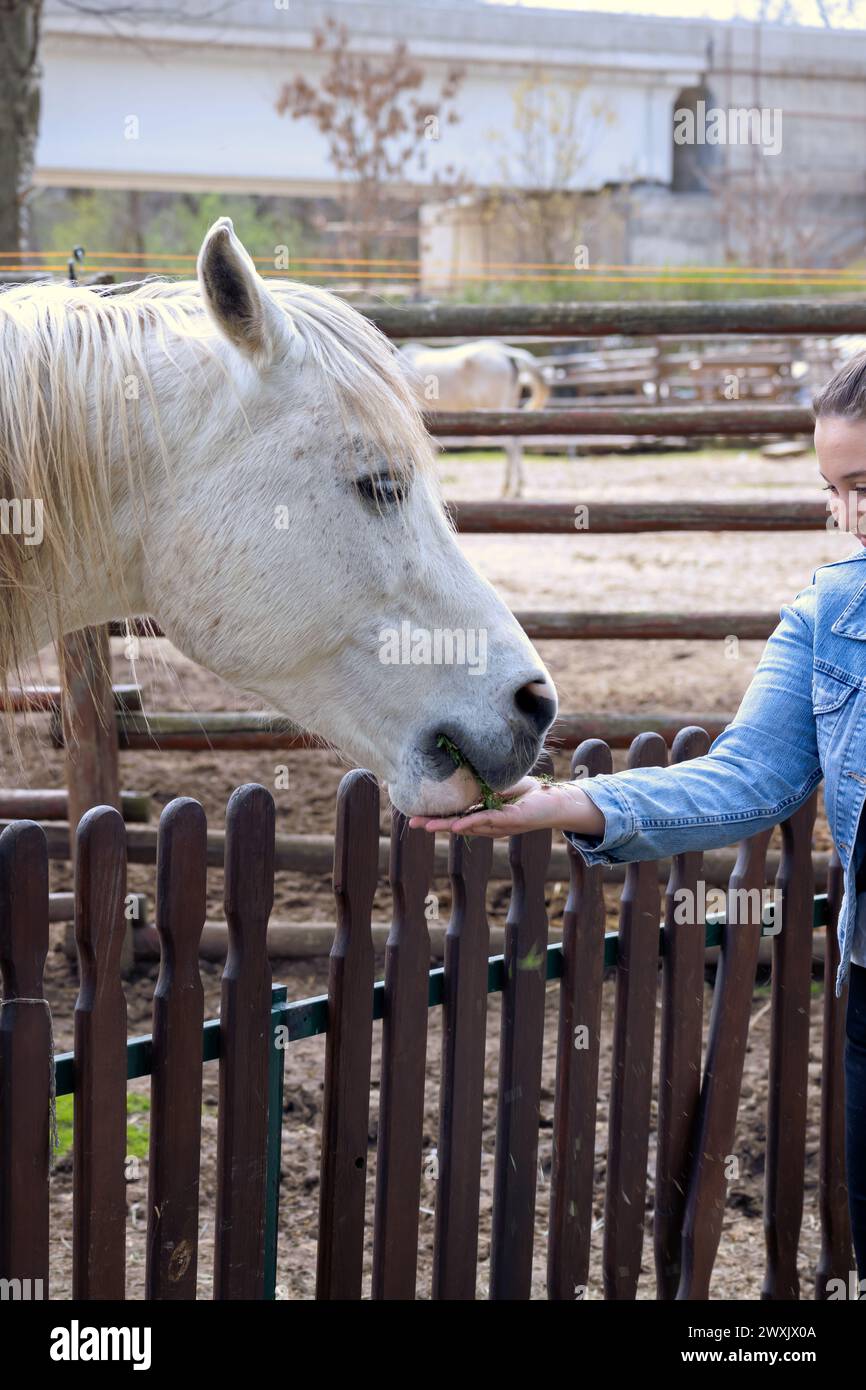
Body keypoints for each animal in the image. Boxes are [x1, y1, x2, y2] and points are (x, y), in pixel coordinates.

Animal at [397, 337, 547, 500]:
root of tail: (508, 353)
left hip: (499, 409)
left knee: (510, 443)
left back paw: (508, 487)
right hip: (511, 407)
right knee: (517, 440)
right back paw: (517, 487)